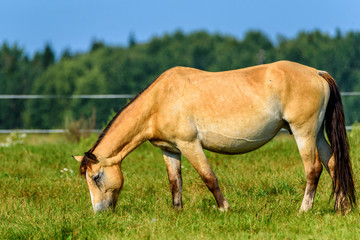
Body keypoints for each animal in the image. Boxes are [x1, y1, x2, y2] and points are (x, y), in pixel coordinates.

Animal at [72, 60, 354, 214]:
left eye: (96, 177)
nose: (99, 213)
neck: (160, 101)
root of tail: (317, 73)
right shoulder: (170, 150)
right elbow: (175, 182)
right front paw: (177, 212)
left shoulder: (190, 145)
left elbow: (209, 178)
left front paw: (224, 209)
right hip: (316, 133)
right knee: (333, 164)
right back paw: (343, 207)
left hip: (303, 131)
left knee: (313, 169)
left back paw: (304, 209)